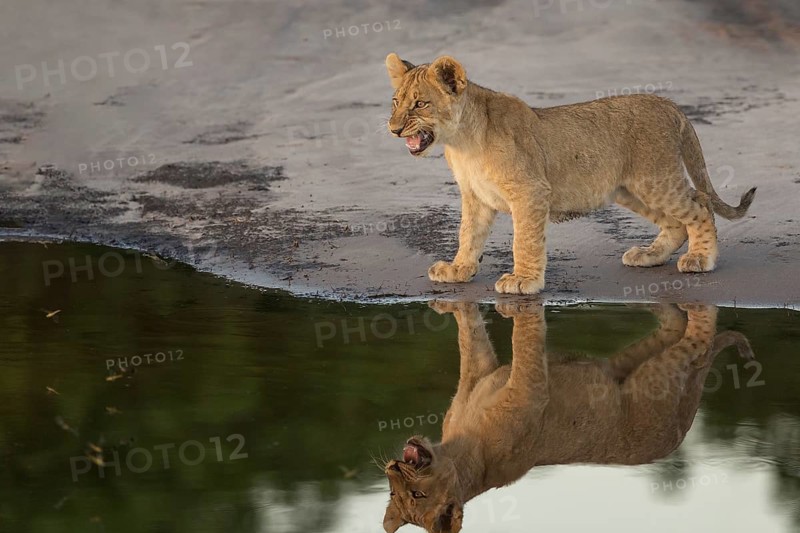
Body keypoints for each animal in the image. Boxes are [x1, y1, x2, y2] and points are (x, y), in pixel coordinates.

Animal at [382, 302, 754, 532]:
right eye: (394, 492)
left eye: (416, 496)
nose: (394, 465)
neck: (461, 451)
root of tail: (679, 435)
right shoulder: (489, 376)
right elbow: (474, 335)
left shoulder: (523, 388)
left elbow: (510, 342)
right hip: (649, 369)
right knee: (683, 330)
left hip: (656, 373)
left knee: (697, 337)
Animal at [385, 53, 757, 294]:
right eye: (395, 102)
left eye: (420, 104)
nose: (393, 128)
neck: (462, 143)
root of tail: (669, 104)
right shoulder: (475, 197)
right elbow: (468, 235)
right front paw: (459, 270)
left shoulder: (531, 191)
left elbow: (525, 240)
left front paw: (523, 281)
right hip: (629, 189)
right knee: (678, 221)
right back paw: (649, 255)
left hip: (654, 179)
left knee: (699, 204)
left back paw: (700, 258)